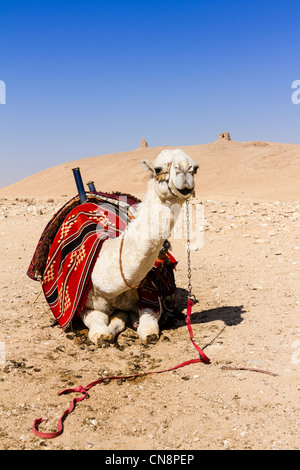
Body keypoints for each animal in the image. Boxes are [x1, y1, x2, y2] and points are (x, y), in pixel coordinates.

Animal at [79, 151, 199, 346]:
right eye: (157, 169)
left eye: (195, 168)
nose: (184, 170)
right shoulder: (85, 306)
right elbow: (97, 324)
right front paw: (103, 335)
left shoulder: (150, 296)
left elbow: (149, 325)